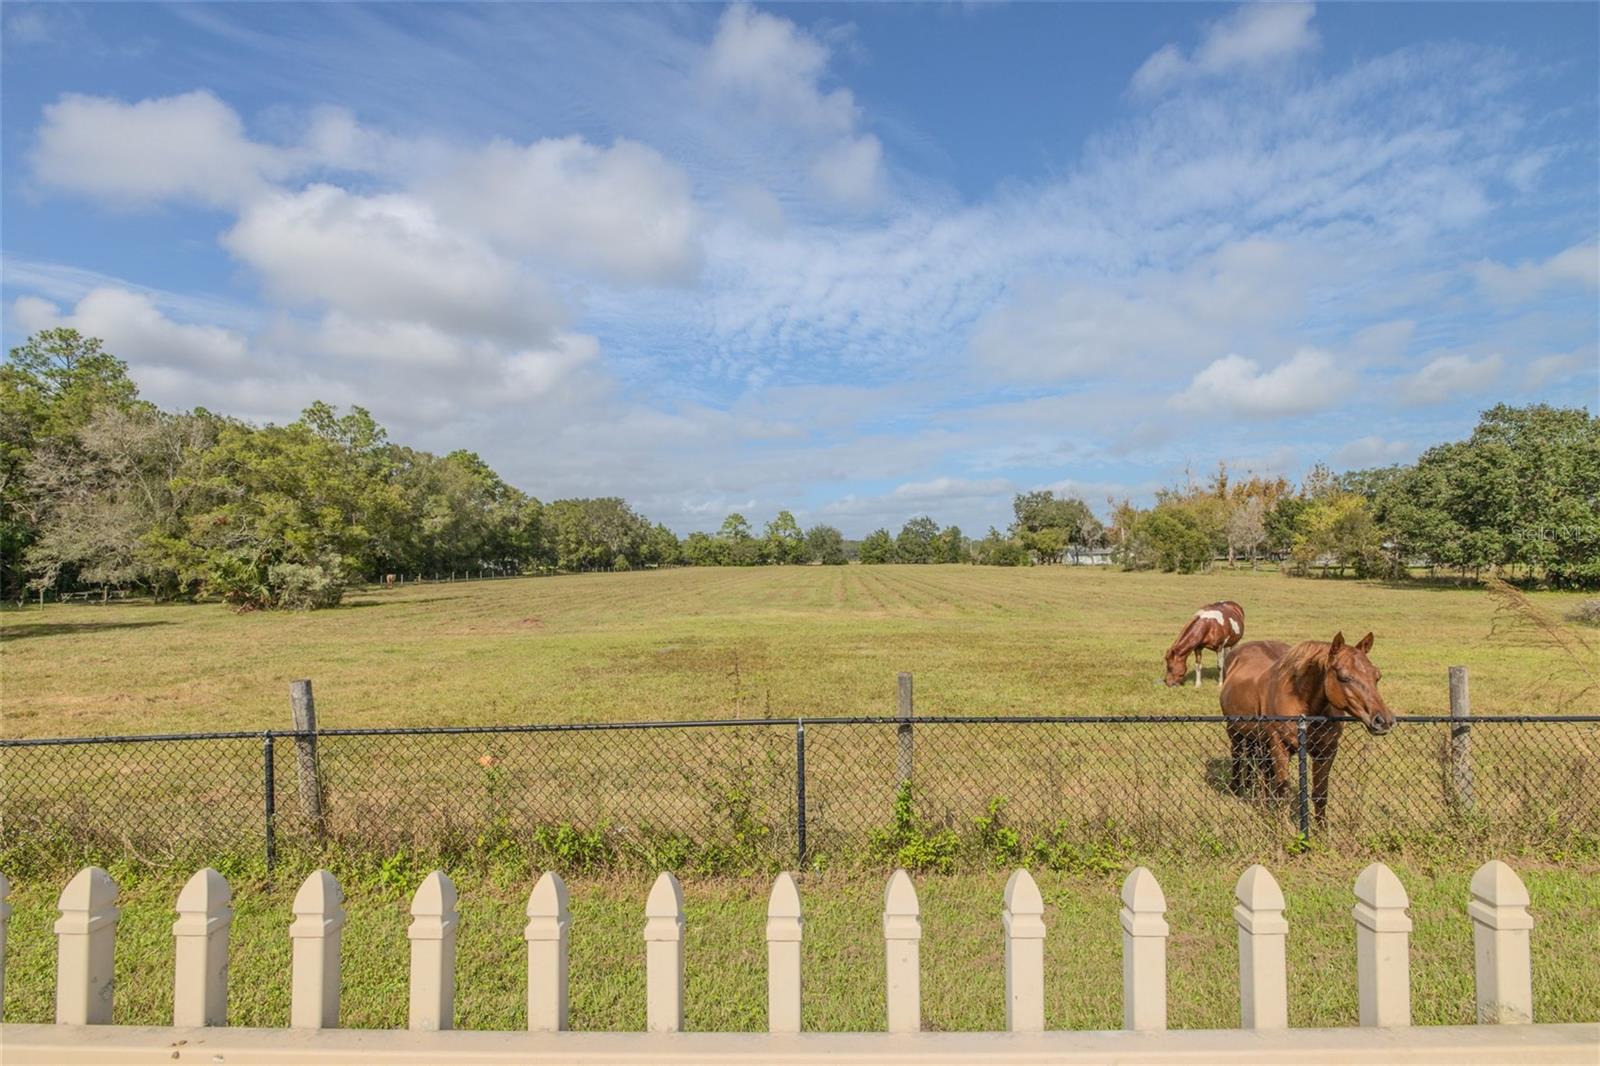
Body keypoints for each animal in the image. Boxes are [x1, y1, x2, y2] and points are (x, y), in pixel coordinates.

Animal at [1216, 630, 1395, 819]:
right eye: (1344, 677)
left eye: (1377, 676)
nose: (1383, 720)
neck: (1304, 704)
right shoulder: (1280, 748)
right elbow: (1283, 791)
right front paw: (1281, 824)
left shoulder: (1326, 752)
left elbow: (1320, 794)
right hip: (1235, 732)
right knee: (1238, 756)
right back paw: (1237, 790)